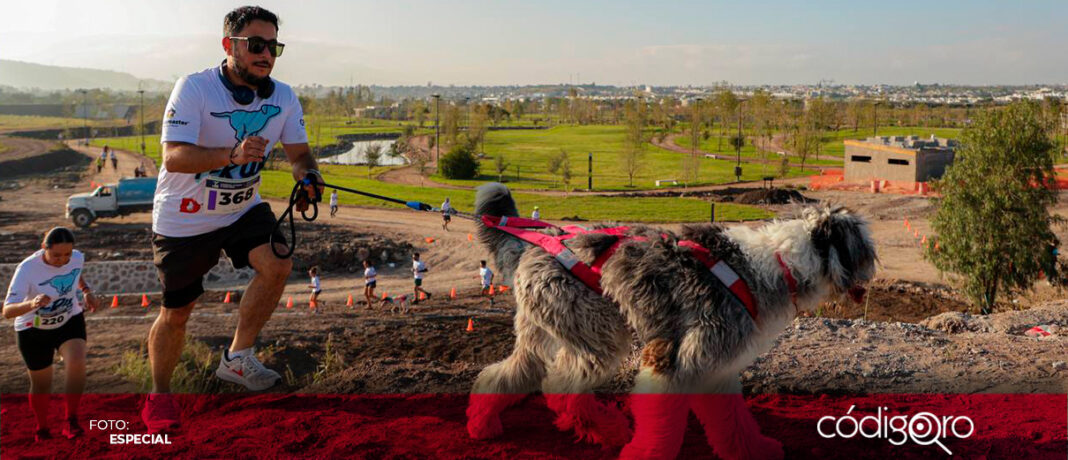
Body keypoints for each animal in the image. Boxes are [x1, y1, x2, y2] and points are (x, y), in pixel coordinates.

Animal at [467, 183, 875, 460]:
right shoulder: (673, 361)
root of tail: (537, 244)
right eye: (864, 248)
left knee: (507, 374)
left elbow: (733, 420)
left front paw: (752, 449)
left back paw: (482, 424)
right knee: (558, 385)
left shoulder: (717, 368)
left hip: (545, 331)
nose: (872, 271)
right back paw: (608, 428)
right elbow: (662, 421)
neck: (778, 263)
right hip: (597, 331)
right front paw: (644, 453)